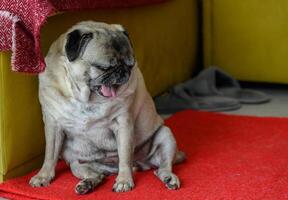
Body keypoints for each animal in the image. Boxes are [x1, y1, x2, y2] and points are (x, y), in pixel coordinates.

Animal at [29, 20, 186, 194]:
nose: (122, 71)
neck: (86, 98)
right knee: (97, 175)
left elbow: (124, 156)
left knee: (162, 168)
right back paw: (87, 184)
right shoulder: (53, 125)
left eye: (130, 65)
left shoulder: (123, 124)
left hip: (165, 136)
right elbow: (49, 155)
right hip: (75, 162)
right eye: (103, 68)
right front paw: (43, 176)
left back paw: (169, 178)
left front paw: (124, 180)